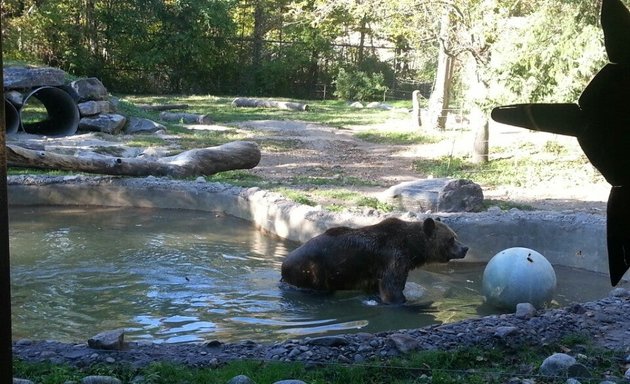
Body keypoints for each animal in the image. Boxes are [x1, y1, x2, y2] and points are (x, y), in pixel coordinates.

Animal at [282, 218, 470, 304]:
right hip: (313, 271)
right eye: (451, 239)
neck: (412, 248)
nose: (465, 248)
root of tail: (284, 264)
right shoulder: (393, 258)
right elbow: (392, 288)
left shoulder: (374, 271)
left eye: (455, 236)